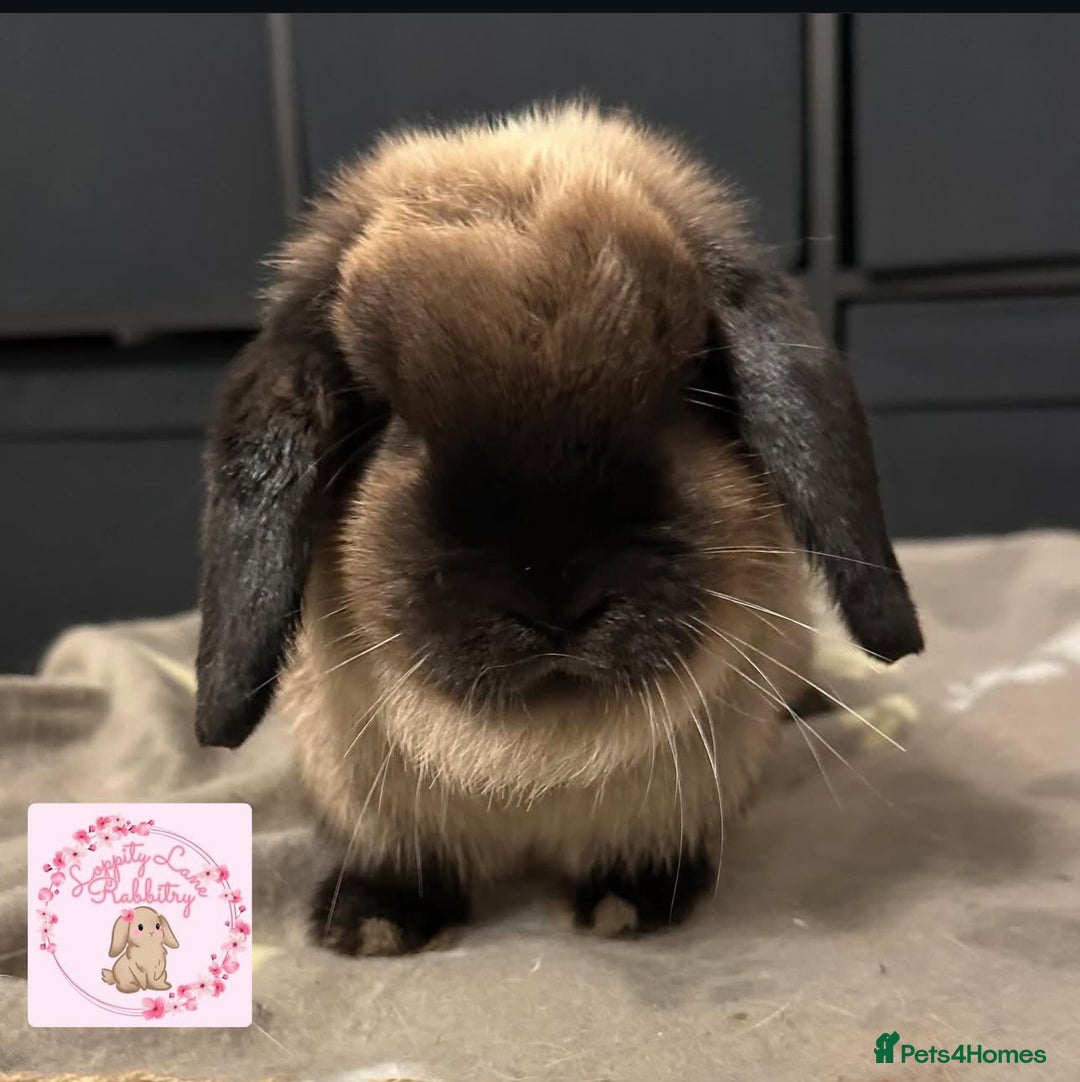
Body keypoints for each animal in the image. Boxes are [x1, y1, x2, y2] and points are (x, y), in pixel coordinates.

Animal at [194, 102, 922, 956]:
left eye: (686, 385)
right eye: (384, 415)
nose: (554, 597)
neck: (533, 764)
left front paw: (628, 904)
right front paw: (370, 922)